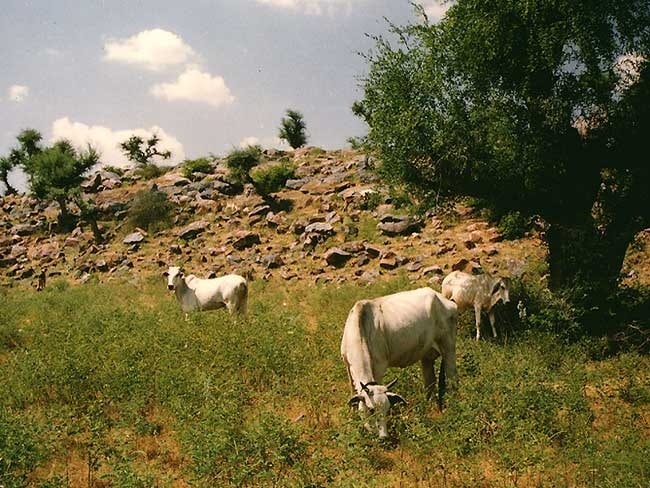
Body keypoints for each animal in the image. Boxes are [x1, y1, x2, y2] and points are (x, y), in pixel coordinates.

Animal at [340, 286, 456, 438]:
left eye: (387, 409)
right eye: (371, 410)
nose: (384, 437)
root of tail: (444, 299)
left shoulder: (379, 366)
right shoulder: (348, 366)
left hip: (448, 344)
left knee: (452, 374)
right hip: (426, 355)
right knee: (430, 381)